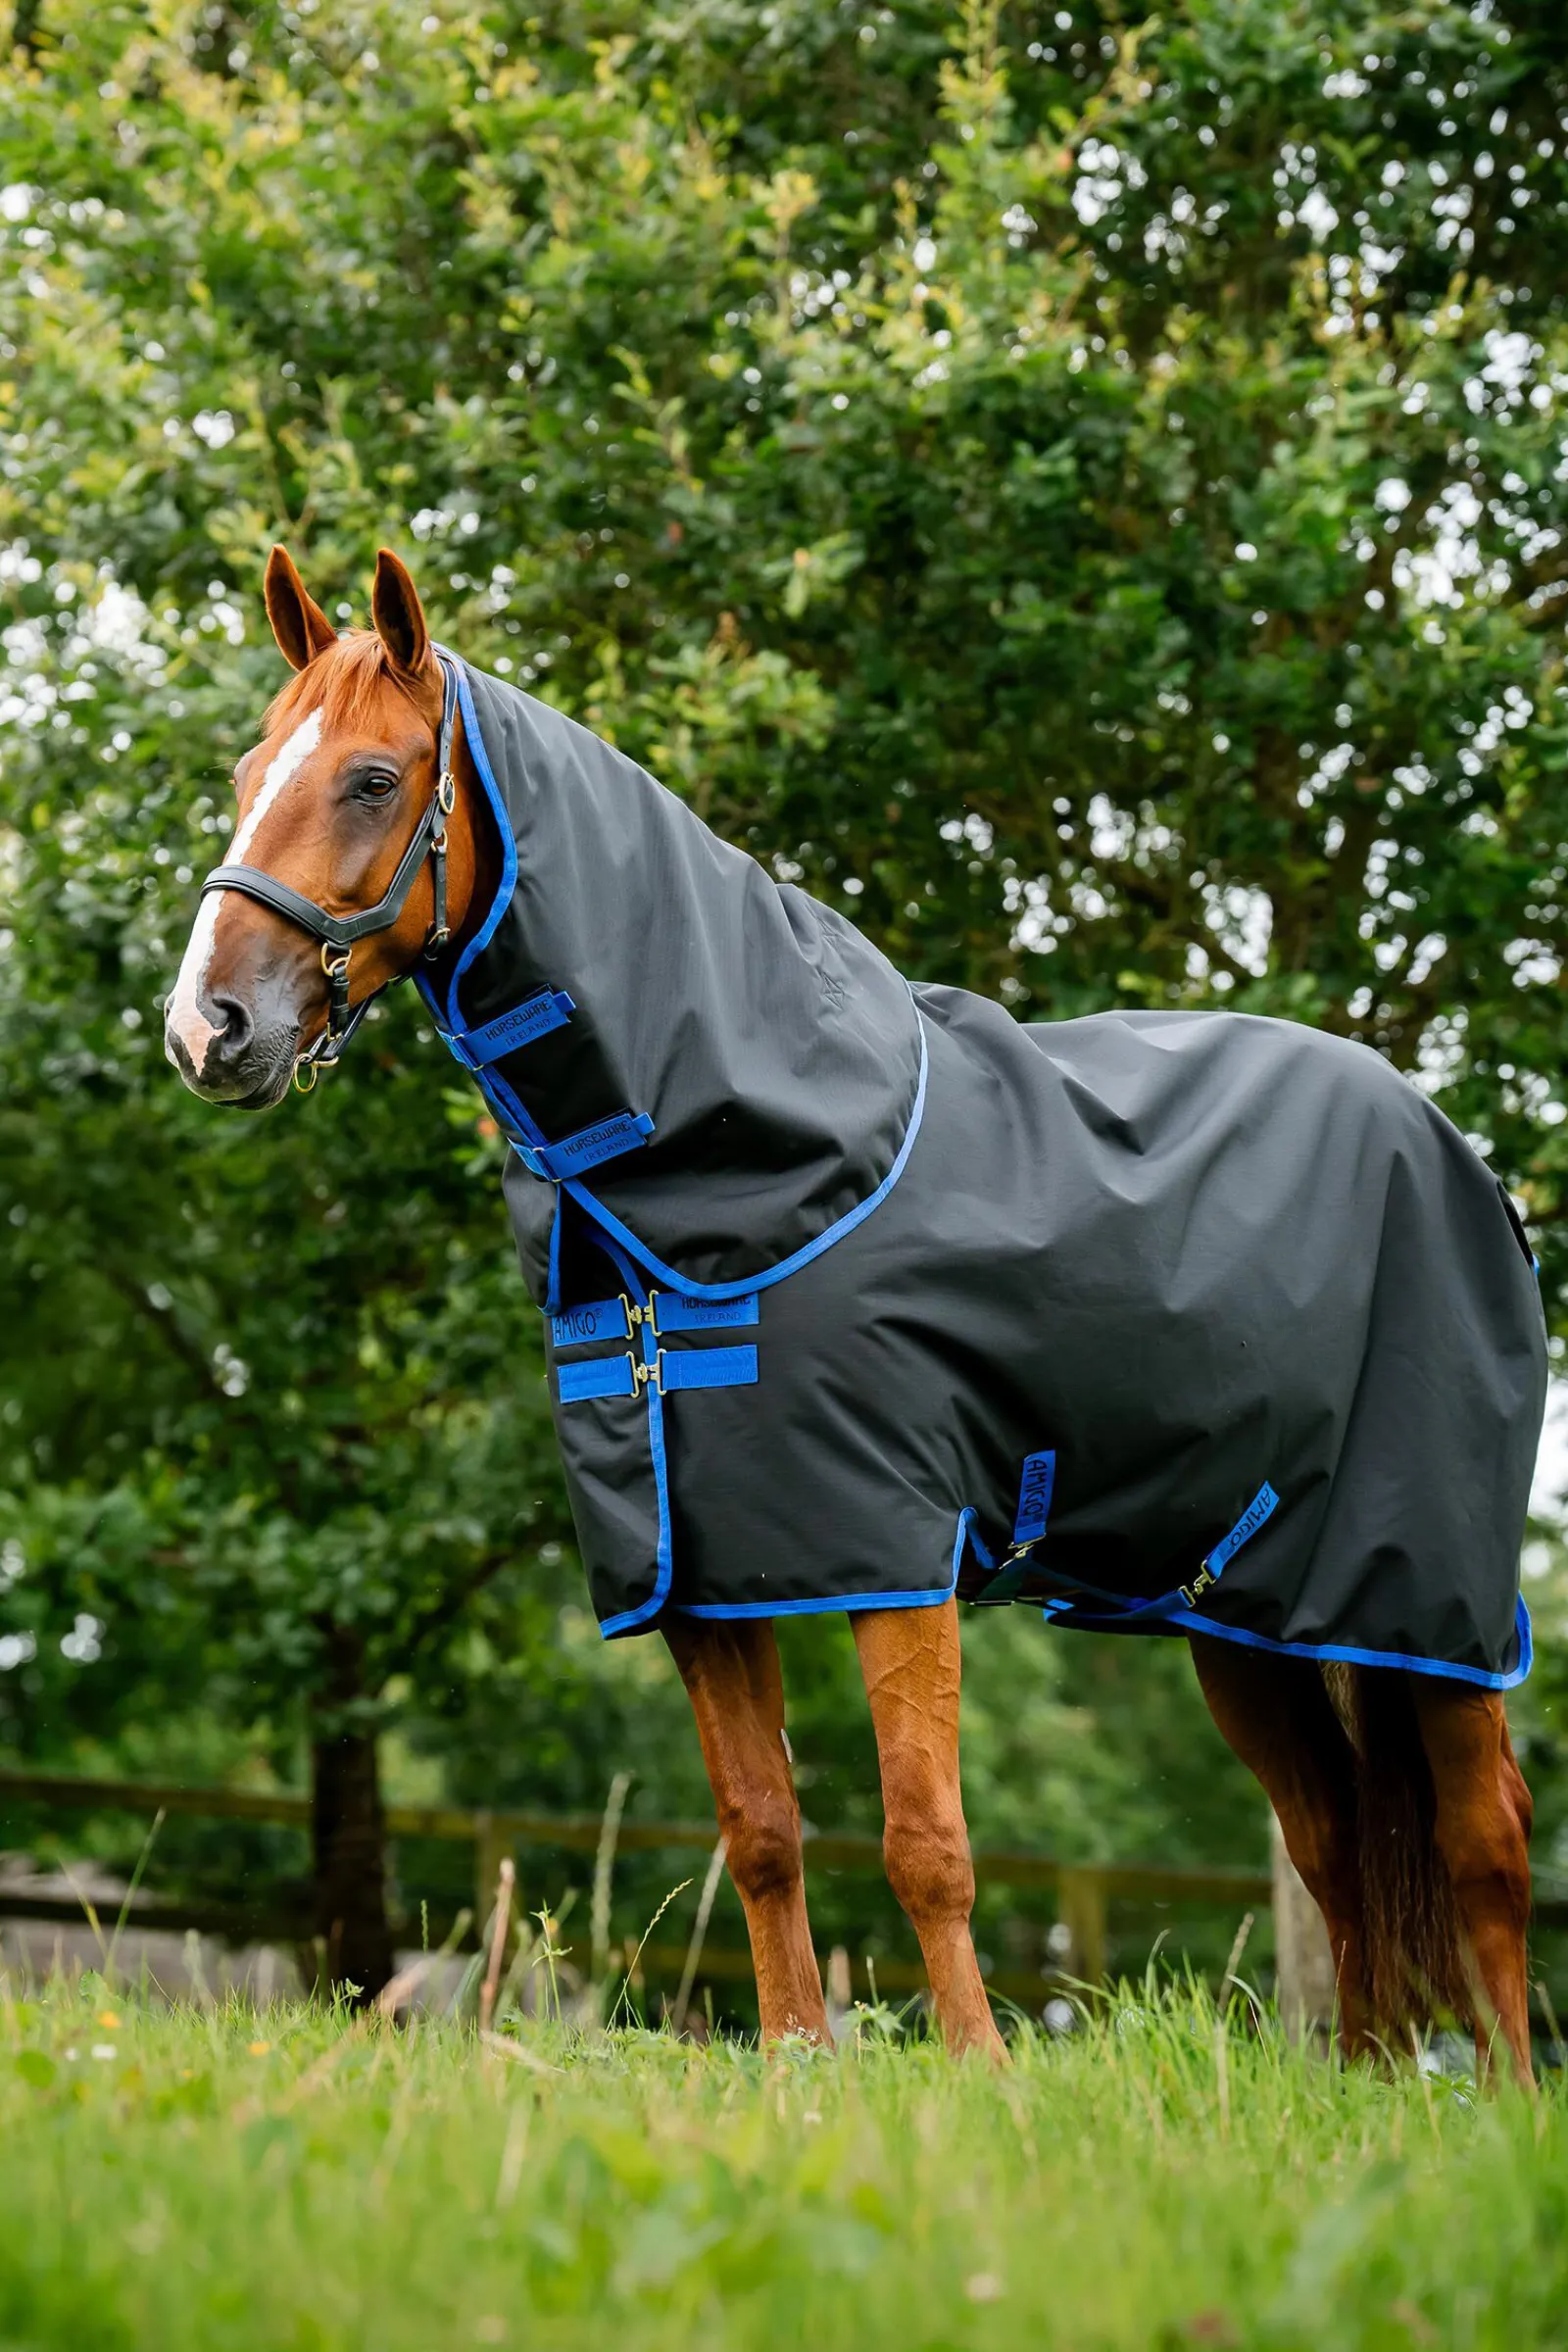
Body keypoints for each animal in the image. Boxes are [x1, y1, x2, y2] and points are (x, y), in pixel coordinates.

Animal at [166, 545, 1543, 2078]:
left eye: (368, 779)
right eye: (247, 772)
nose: (207, 1028)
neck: (750, 1143)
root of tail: (1452, 1146)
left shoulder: (892, 1548)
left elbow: (925, 1838)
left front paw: (977, 2069)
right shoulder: (702, 1570)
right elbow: (762, 1832)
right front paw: (797, 2064)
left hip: (1428, 1596)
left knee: (1481, 1840)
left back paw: (1496, 2091)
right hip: (1254, 1617)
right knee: (1334, 1837)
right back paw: (1369, 2074)